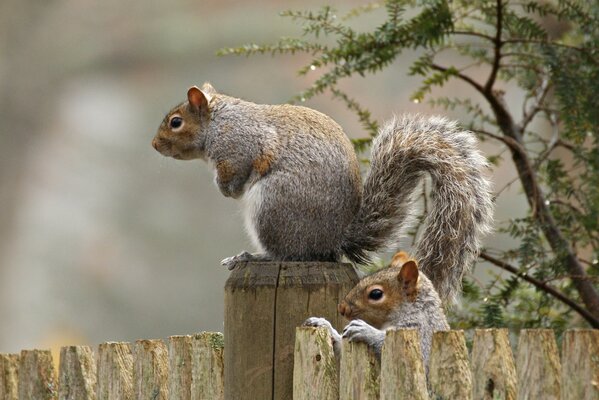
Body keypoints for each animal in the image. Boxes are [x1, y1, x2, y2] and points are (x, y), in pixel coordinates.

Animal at [152, 82, 494, 304]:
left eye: (176, 122)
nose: (154, 146)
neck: (217, 122)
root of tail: (334, 239)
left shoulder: (239, 146)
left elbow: (236, 173)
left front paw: (225, 189)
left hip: (273, 207)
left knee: (288, 253)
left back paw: (250, 256)